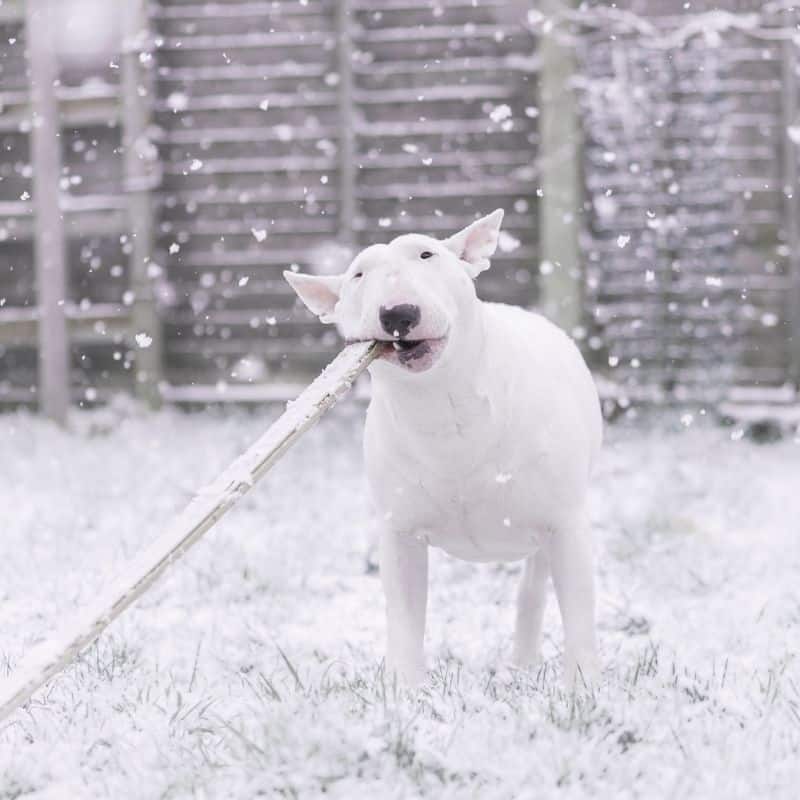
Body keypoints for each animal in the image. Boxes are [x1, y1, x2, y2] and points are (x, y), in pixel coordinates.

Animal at [284, 209, 604, 684]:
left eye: (426, 254)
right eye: (358, 274)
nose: (398, 313)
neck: (444, 409)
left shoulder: (566, 522)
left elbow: (579, 616)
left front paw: (583, 690)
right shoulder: (400, 533)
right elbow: (404, 618)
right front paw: (403, 690)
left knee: (533, 585)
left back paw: (524, 661)